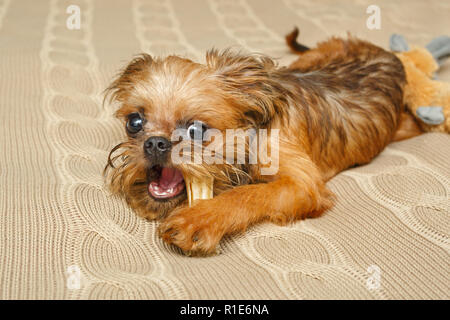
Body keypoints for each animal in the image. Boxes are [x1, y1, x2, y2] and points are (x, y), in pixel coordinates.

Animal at [105, 29, 422, 255]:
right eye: (134, 123)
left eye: (195, 130)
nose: (155, 143)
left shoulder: (301, 185)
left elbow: (248, 193)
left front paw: (201, 218)